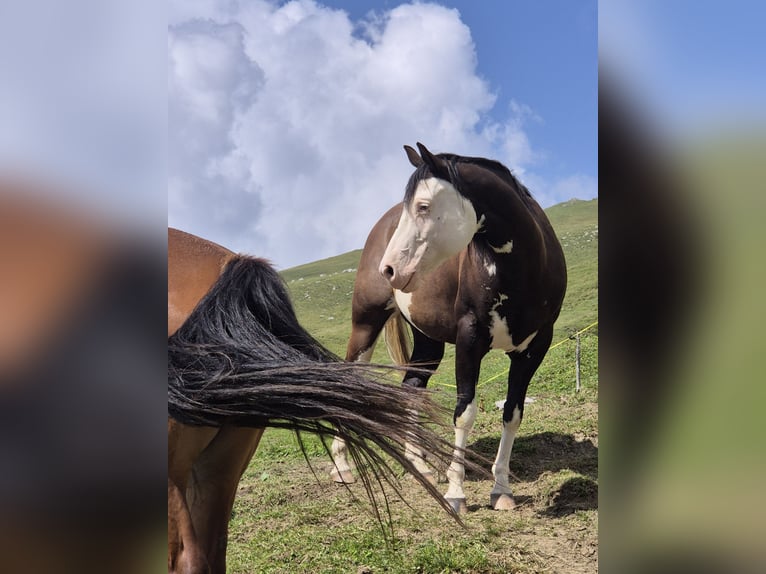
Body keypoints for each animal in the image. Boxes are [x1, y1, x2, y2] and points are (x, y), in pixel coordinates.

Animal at [331, 143, 567, 514]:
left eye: (423, 206)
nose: (389, 269)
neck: (524, 269)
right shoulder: (470, 339)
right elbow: (464, 414)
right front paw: (457, 493)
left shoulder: (535, 348)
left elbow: (512, 414)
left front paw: (501, 490)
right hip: (366, 323)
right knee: (352, 378)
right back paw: (341, 466)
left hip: (428, 341)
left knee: (412, 387)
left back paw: (418, 463)